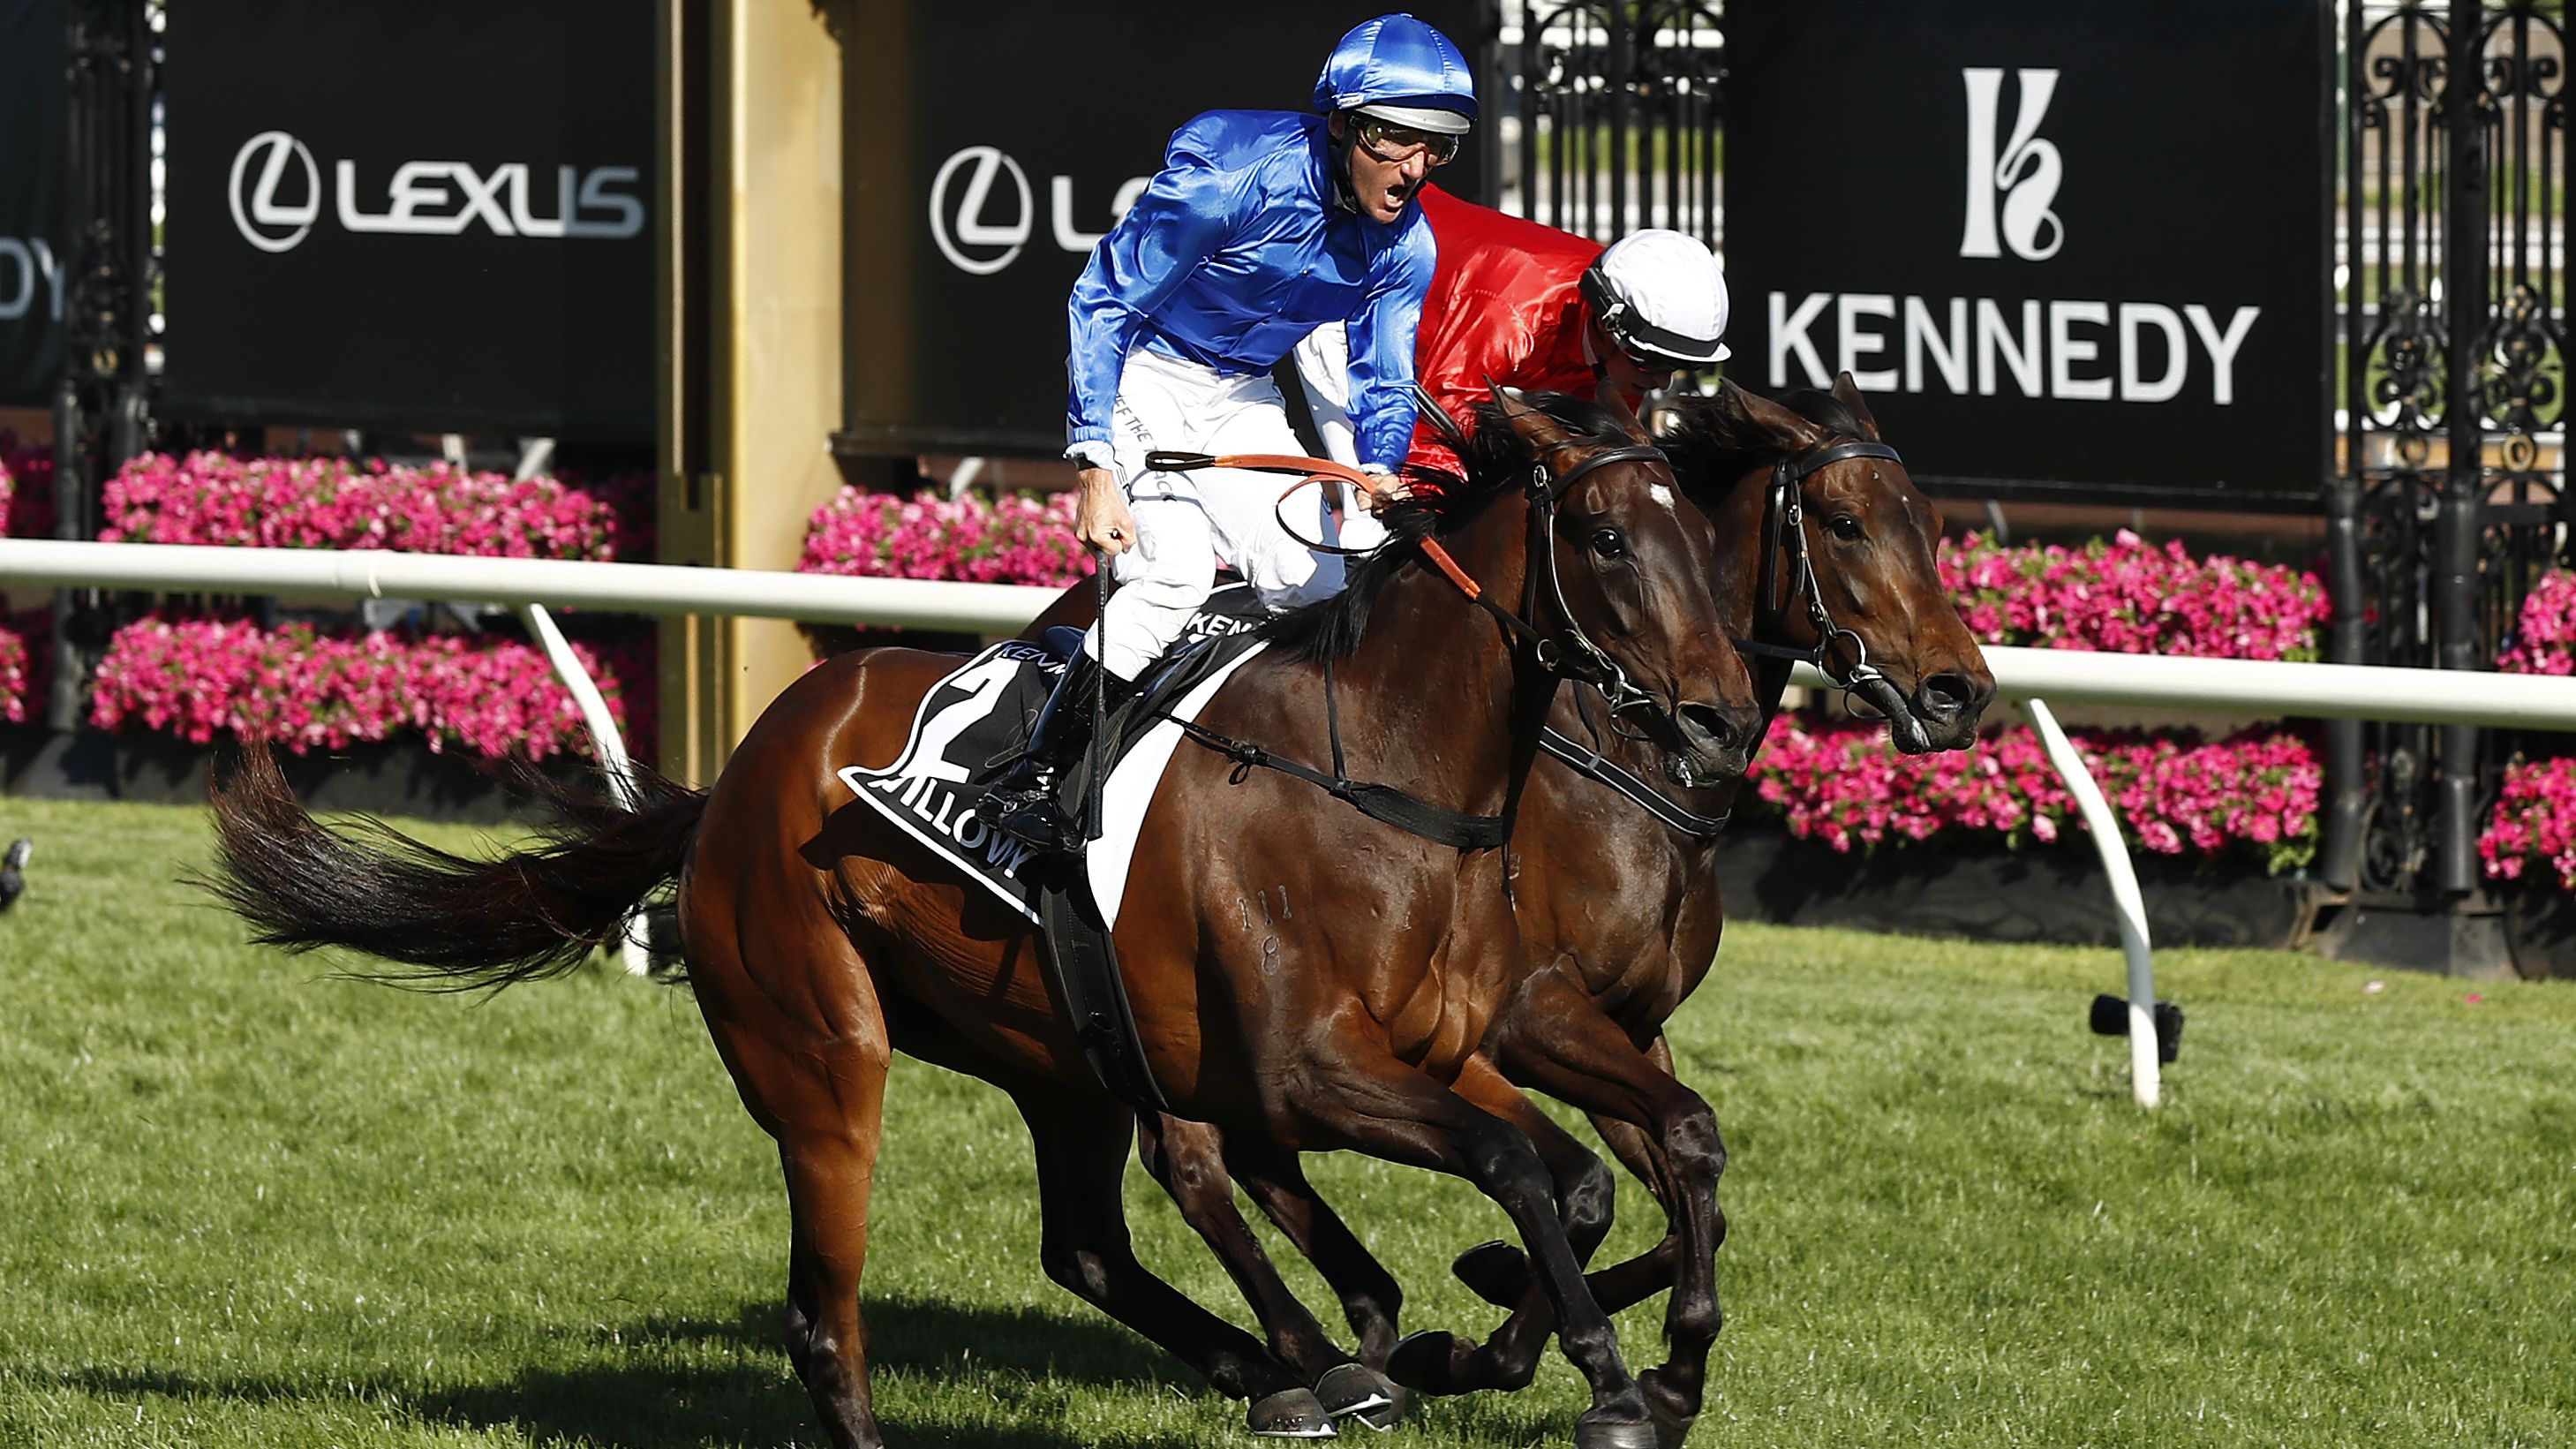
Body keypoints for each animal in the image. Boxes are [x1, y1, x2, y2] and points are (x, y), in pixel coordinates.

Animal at [206, 389, 1772, 1444]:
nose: (1716, 718)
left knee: (1085, 1243)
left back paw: (1292, 1366)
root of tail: (736, 776)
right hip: (823, 1050)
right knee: (825, 1312)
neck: (1386, 770)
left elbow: (1584, 1168)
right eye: (1609, 540)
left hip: (1056, 1050)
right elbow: (1515, 1164)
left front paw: (1542, 1345)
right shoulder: (1307, 1067)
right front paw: (1604, 1376)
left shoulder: (1457, 1037)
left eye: (1709, 542)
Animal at [1036, 368, 1999, 1433]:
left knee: (1243, 1152)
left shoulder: (1629, 1025)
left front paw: (1613, 1348)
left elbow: (1686, 1171)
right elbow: (1625, 1177)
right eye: (1845, 523)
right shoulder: (1534, 1018)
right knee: (1202, 1155)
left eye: (1930, 524)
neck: (1623, 770)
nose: (1960, 692)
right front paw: (1506, 1343)